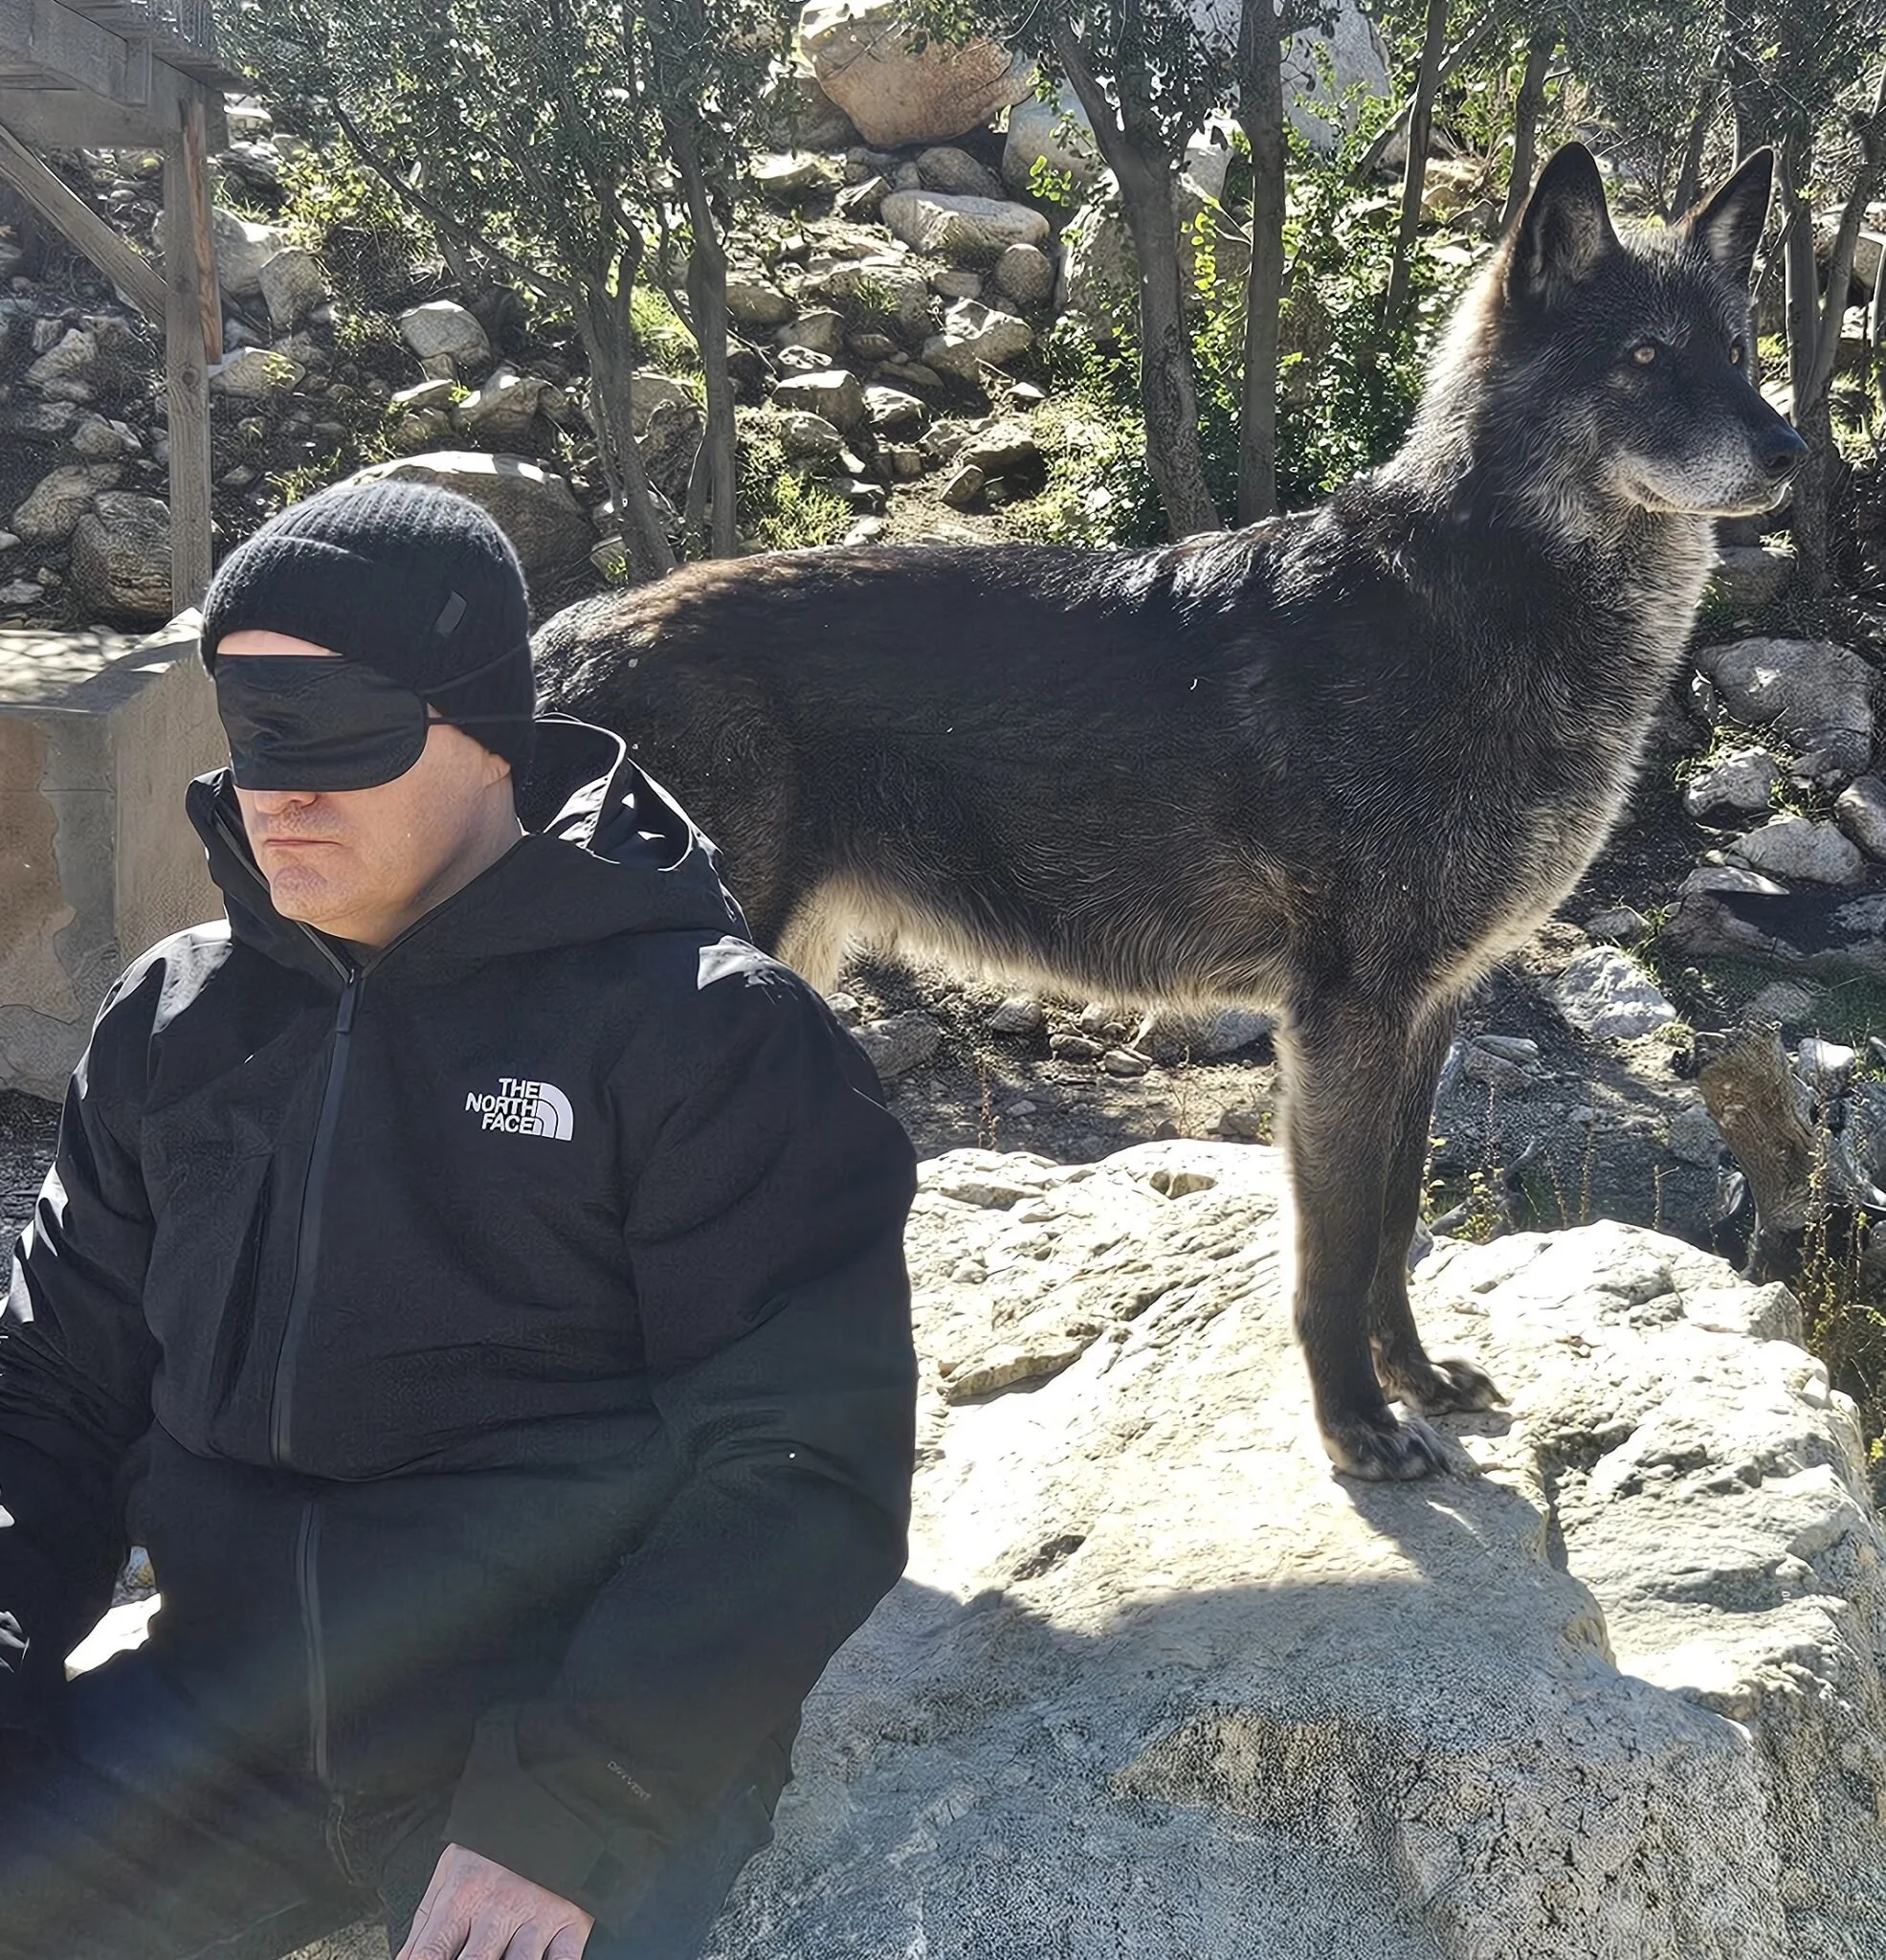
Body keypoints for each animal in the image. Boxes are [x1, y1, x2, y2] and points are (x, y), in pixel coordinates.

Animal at [533, 144, 1805, 1481]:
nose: (1788, 451)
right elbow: (1333, 1254)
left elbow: (1395, 1226)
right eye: (1646, 356)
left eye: (1736, 346)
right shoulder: (1347, 1025)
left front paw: (1416, 1380)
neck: (1478, 604)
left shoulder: (1427, 1014)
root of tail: (561, 633)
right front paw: (1357, 1425)